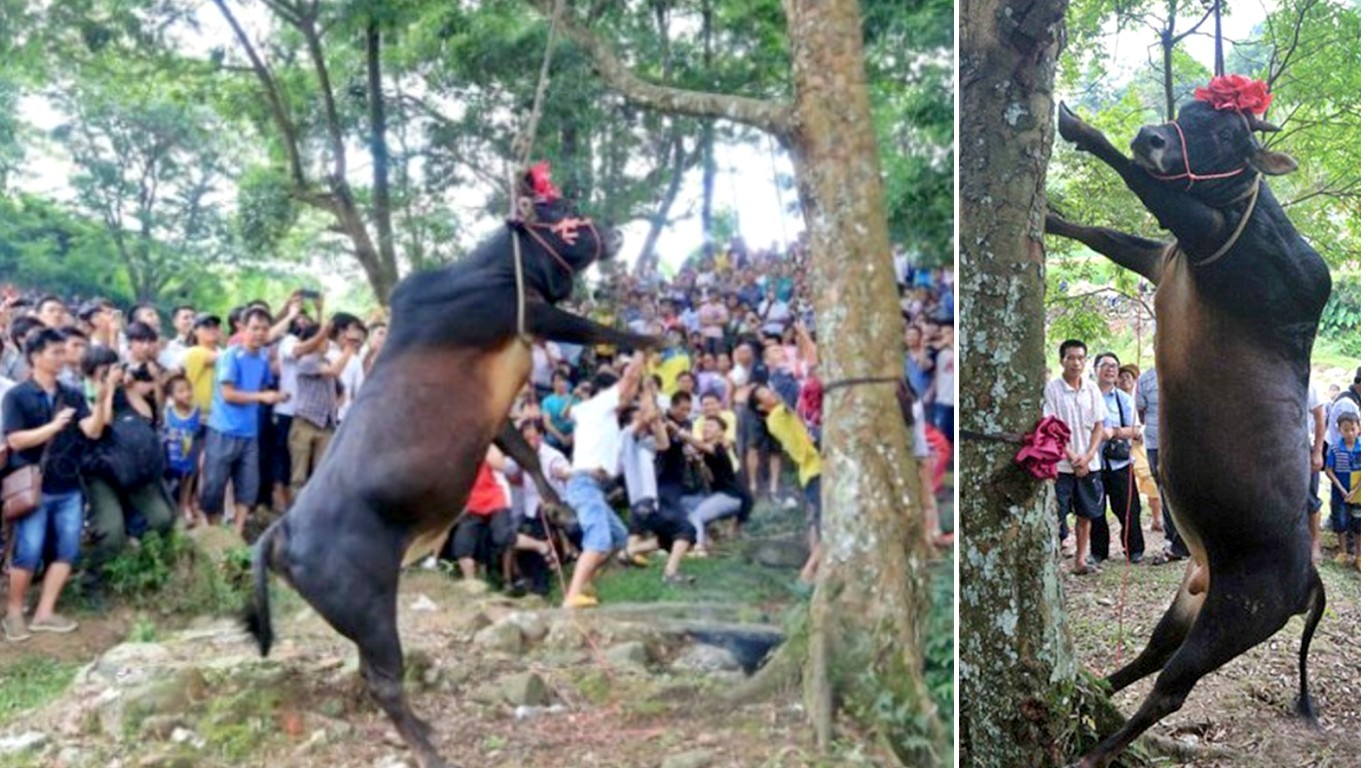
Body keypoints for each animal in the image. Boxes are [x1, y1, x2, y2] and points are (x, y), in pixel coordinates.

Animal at [248, 187, 658, 765]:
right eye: (557, 212)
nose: (611, 230)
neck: (496, 268)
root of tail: (279, 531)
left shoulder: (494, 417)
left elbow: (524, 452)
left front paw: (557, 507)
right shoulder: (528, 315)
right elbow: (597, 328)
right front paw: (658, 337)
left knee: (369, 674)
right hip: (369, 608)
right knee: (384, 681)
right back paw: (428, 749)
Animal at [1043, 98, 1333, 759]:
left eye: (1227, 134)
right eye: (1192, 106)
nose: (1153, 136)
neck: (1248, 211)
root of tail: (1308, 575)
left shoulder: (1199, 235)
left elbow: (1140, 180)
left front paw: (1078, 126)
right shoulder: (1163, 256)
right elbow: (1103, 236)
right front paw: (1047, 216)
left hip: (1236, 617)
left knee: (1172, 688)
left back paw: (1095, 751)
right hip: (1193, 596)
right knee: (1154, 652)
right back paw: (1093, 687)